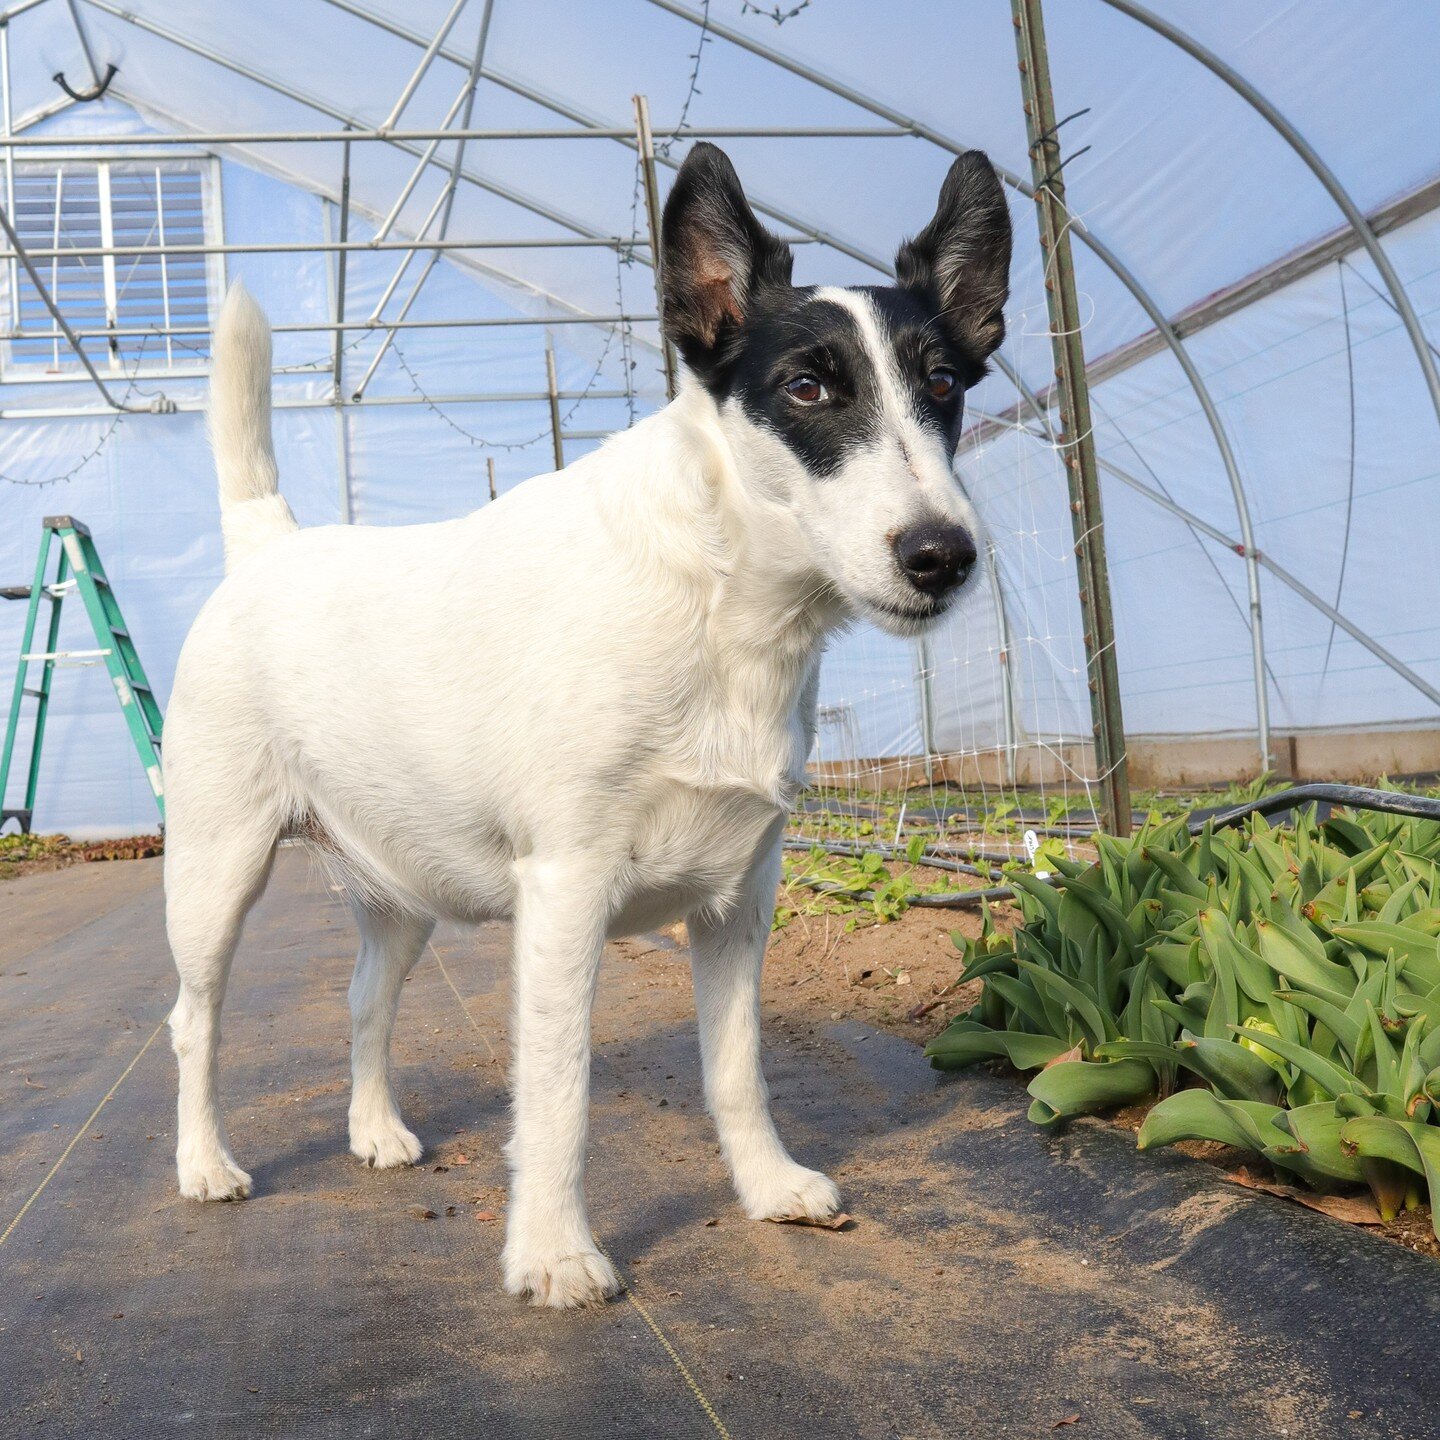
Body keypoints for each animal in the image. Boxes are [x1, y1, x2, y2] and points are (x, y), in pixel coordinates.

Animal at [163, 143, 1008, 1307]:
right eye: (806, 387)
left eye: (944, 386)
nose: (943, 555)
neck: (721, 600)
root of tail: (268, 544)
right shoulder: (565, 889)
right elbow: (556, 1095)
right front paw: (554, 1253)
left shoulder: (743, 898)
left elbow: (737, 1070)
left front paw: (765, 1186)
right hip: (215, 872)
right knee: (194, 1022)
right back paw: (205, 1163)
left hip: (399, 889)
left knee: (365, 1001)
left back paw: (374, 1130)